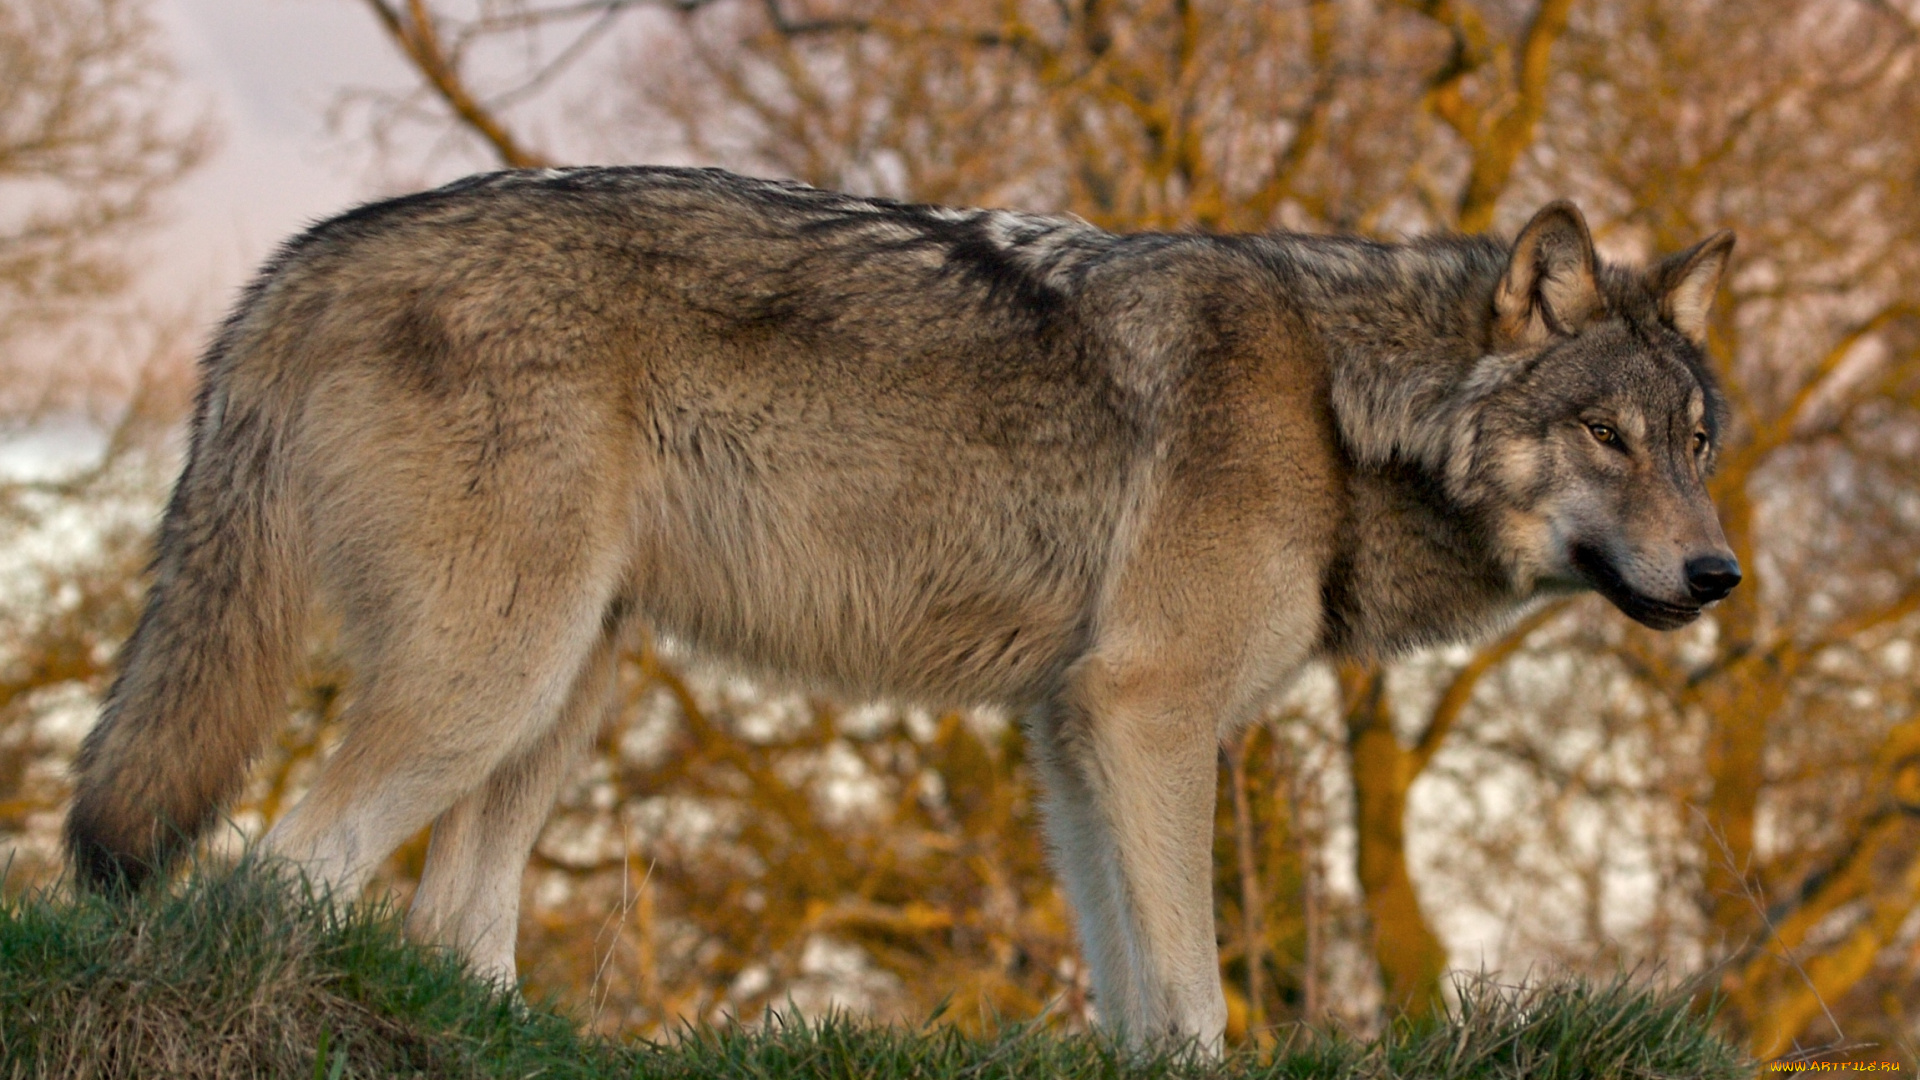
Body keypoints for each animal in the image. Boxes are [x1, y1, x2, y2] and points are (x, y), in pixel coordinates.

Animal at [60, 166, 1743, 1045]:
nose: (1721, 573)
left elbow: (1133, 993)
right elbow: (1196, 997)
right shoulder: (1146, 713)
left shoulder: (1072, 731)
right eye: (1608, 437)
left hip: (566, 688)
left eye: (1697, 444)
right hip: (493, 680)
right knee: (275, 874)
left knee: (451, 923)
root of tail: (306, 253)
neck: (1344, 411)